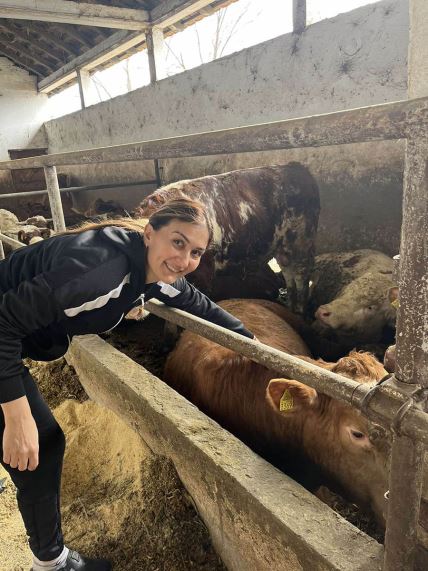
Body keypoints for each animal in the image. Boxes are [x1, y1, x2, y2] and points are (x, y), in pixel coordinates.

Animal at [135, 163, 320, 316]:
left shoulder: (204, 273)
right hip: (283, 249)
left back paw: (299, 311)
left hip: (301, 244)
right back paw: (291, 307)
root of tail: (295, 167)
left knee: (301, 278)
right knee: (289, 276)